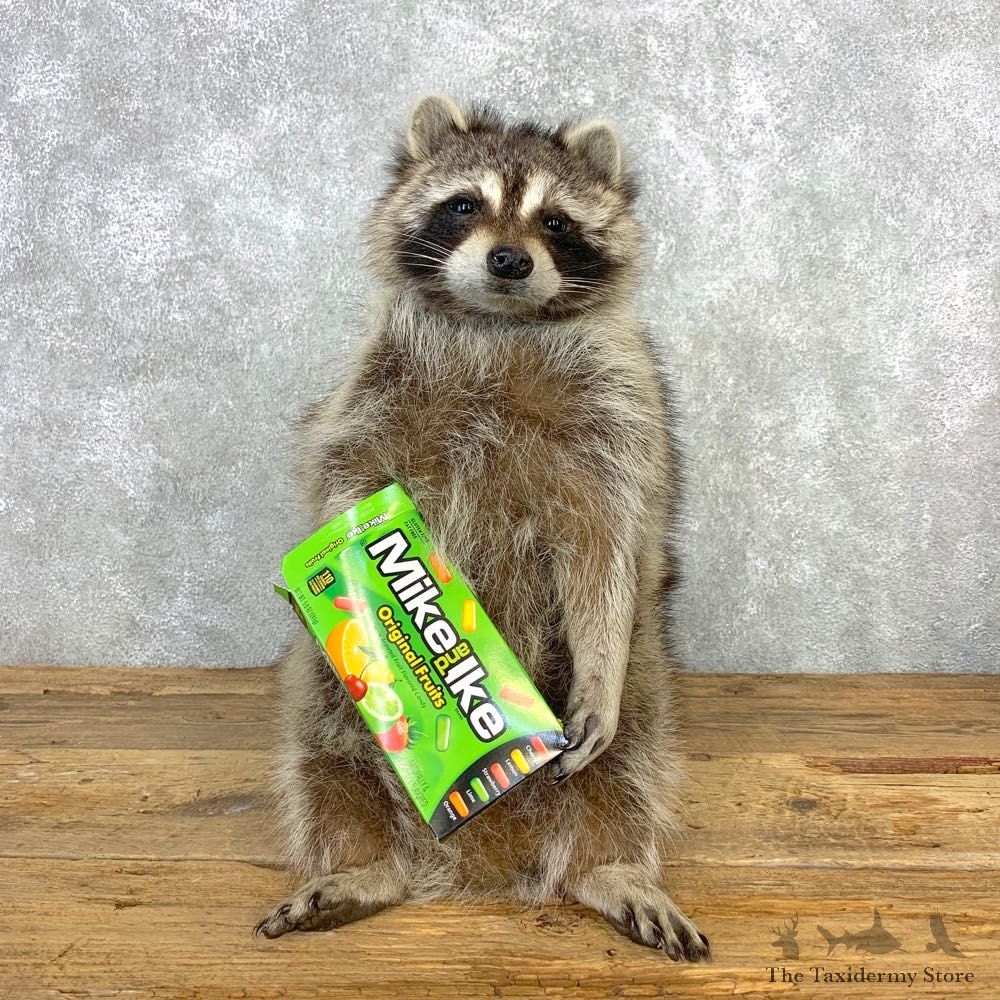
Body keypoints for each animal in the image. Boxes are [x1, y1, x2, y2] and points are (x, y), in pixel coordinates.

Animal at [254, 96, 710, 962]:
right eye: (464, 205)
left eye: (556, 222)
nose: (508, 261)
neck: (495, 325)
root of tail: (474, 868)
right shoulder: (370, 394)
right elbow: (339, 490)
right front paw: (341, 579)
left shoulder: (619, 410)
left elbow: (607, 549)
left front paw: (599, 661)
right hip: (328, 711)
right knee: (324, 753)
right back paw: (364, 866)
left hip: (647, 682)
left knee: (631, 763)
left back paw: (612, 869)